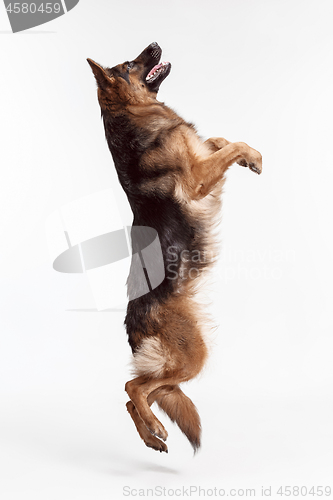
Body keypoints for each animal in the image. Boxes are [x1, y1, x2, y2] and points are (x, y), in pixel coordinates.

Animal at [88, 43, 262, 456]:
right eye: (130, 65)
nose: (153, 45)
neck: (134, 117)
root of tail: (132, 323)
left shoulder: (203, 159)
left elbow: (220, 141)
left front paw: (247, 158)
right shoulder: (198, 179)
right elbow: (230, 145)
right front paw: (254, 156)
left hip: (177, 364)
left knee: (137, 395)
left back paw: (151, 437)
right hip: (192, 356)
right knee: (132, 386)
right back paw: (154, 429)